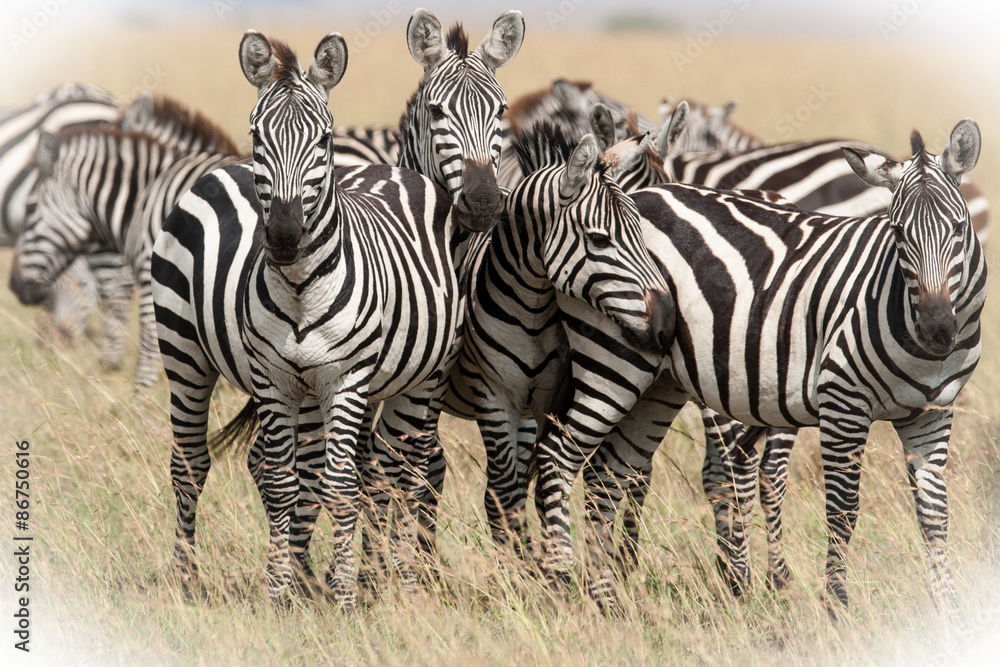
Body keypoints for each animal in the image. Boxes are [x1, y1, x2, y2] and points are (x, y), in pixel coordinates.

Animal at [9, 106, 241, 389]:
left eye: (30, 207)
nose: (14, 285)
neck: (145, 197)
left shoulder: (155, 279)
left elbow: (151, 348)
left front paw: (141, 396)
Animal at [530, 120, 985, 622]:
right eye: (899, 233)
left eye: (959, 229)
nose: (938, 330)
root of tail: (638, 194)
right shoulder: (843, 403)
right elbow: (843, 510)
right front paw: (837, 607)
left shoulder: (931, 415)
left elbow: (934, 513)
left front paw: (949, 611)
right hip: (614, 360)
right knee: (558, 457)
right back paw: (560, 587)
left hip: (659, 384)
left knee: (608, 476)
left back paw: (607, 599)